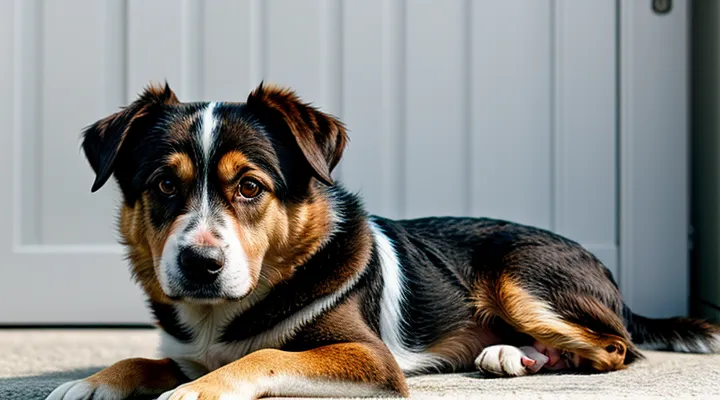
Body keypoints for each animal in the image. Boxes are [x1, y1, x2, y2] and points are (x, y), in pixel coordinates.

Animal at [47, 82, 720, 400]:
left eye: (250, 187)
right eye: (164, 183)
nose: (200, 263)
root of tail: (607, 275)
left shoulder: (370, 359)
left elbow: (263, 356)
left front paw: (194, 391)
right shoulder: (189, 347)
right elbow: (149, 358)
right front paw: (94, 381)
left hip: (520, 274)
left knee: (616, 347)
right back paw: (512, 355)